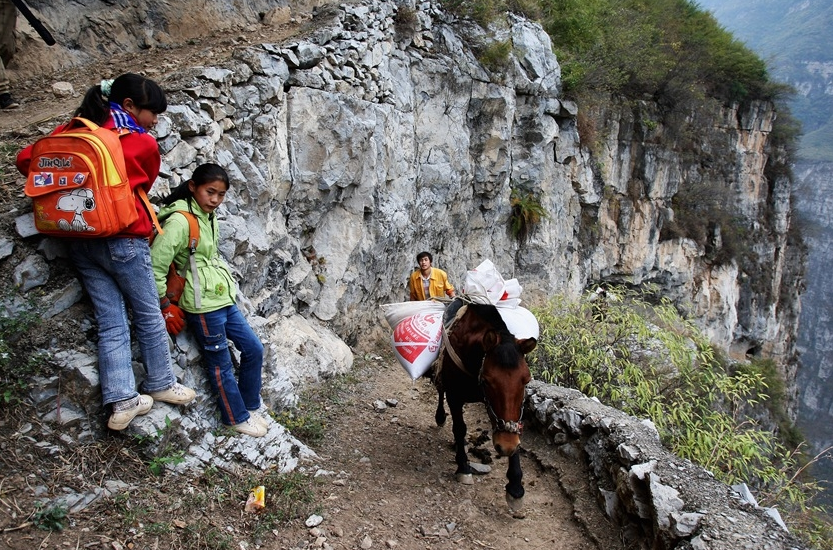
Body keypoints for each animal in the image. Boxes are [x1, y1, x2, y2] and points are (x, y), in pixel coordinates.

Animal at [428, 298, 540, 516]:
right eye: (487, 380)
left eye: (526, 380)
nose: (506, 445)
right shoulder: (455, 397)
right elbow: (459, 428)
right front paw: (463, 467)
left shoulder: (498, 409)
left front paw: (515, 488)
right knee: (440, 391)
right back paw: (440, 417)